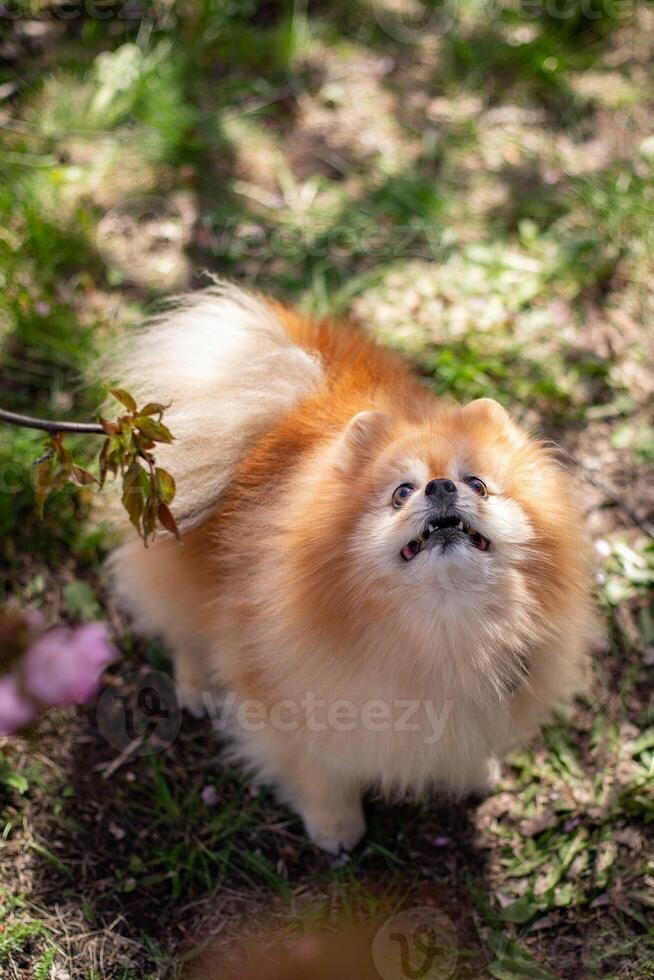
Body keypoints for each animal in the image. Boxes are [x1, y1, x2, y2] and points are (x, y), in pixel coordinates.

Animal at [110, 282, 596, 848]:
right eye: (401, 492)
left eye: (476, 483)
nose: (441, 486)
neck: (447, 629)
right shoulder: (296, 703)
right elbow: (320, 771)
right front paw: (335, 826)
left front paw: (476, 772)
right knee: (184, 631)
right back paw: (195, 687)